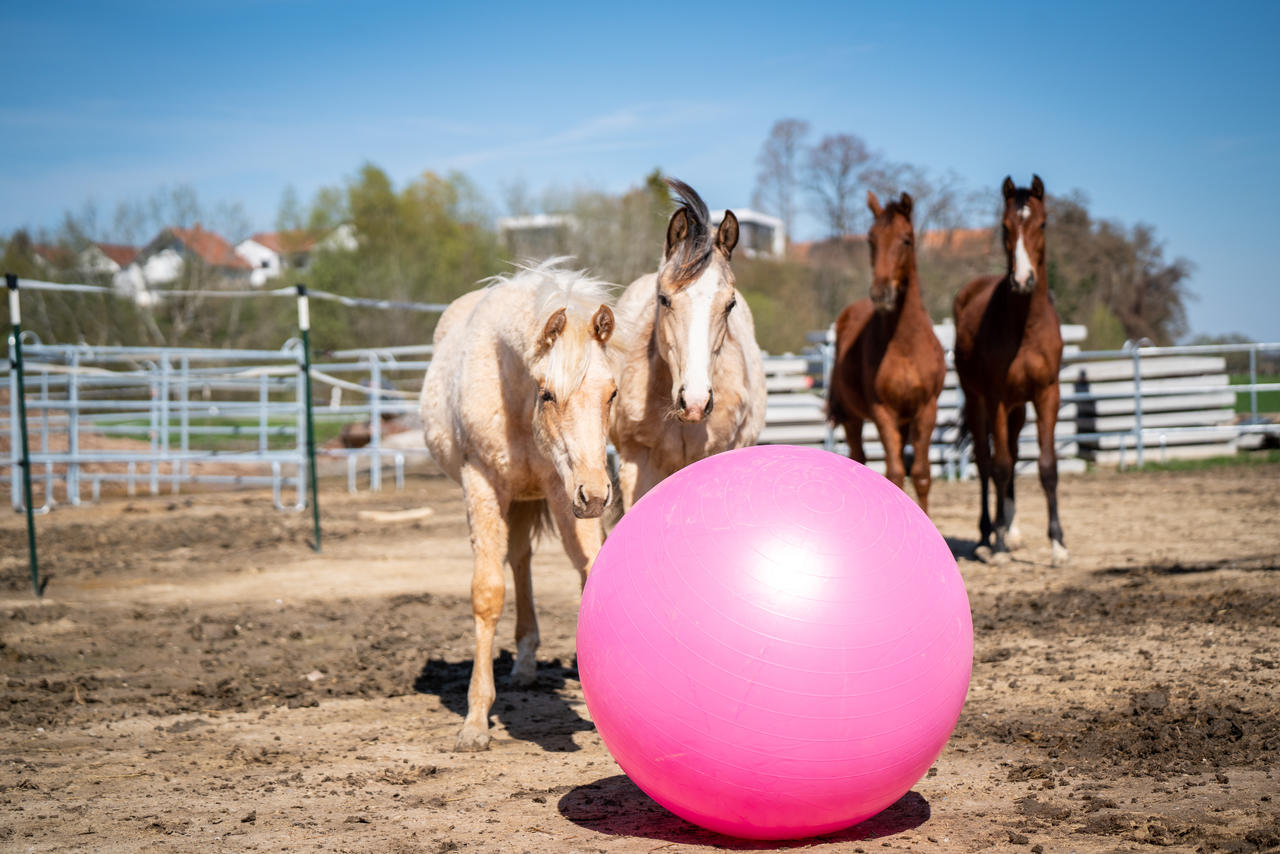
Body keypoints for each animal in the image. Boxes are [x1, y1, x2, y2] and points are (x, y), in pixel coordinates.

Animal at [420, 259, 617, 751]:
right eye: (547, 393)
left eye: (611, 394)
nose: (597, 494)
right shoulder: (482, 485)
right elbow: (488, 593)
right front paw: (474, 722)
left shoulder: (561, 490)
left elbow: (591, 572)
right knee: (517, 562)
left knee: (522, 559)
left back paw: (527, 661)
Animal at [827, 191, 946, 514]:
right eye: (871, 240)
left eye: (906, 239)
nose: (882, 293)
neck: (905, 345)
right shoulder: (882, 412)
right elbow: (894, 473)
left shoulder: (926, 410)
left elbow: (921, 474)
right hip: (852, 417)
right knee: (858, 457)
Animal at [952, 175, 1068, 565]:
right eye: (1004, 227)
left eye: (1043, 224)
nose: (1022, 280)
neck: (1026, 328)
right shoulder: (997, 399)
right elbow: (1000, 466)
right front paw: (999, 546)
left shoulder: (1047, 394)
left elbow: (1047, 467)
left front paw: (1058, 544)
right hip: (978, 402)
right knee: (987, 463)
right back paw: (988, 534)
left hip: (1019, 409)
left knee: (1014, 456)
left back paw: (1012, 530)